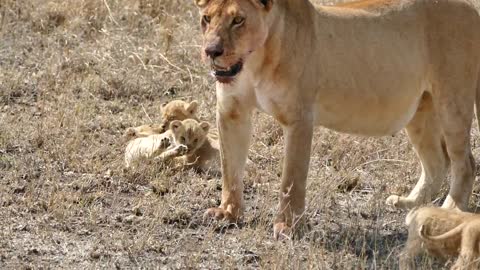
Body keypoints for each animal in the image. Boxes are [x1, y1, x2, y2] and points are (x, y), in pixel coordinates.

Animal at [194, 0, 480, 237]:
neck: (254, 63)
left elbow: (291, 179)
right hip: (421, 109)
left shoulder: (299, 118)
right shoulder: (231, 112)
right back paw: (409, 202)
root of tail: (471, 7)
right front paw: (227, 213)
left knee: (465, 162)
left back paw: (451, 210)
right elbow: (230, 169)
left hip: (453, 100)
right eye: (206, 18)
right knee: (437, 161)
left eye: (238, 20)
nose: (211, 51)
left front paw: (287, 226)